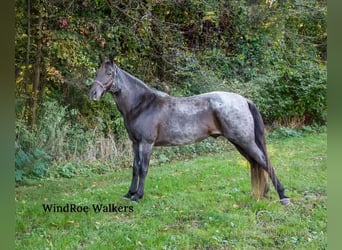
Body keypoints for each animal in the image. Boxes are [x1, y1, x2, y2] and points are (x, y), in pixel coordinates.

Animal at [89, 56, 290, 205]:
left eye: (109, 73)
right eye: (97, 71)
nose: (93, 94)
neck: (142, 104)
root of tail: (244, 100)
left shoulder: (146, 143)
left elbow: (144, 169)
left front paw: (138, 196)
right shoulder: (135, 143)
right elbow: (135, 168)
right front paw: (129, 194)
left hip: (244, 141)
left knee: (264, 161)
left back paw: (283, 196)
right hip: (240, 143)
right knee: (257, 163)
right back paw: (265, 193)